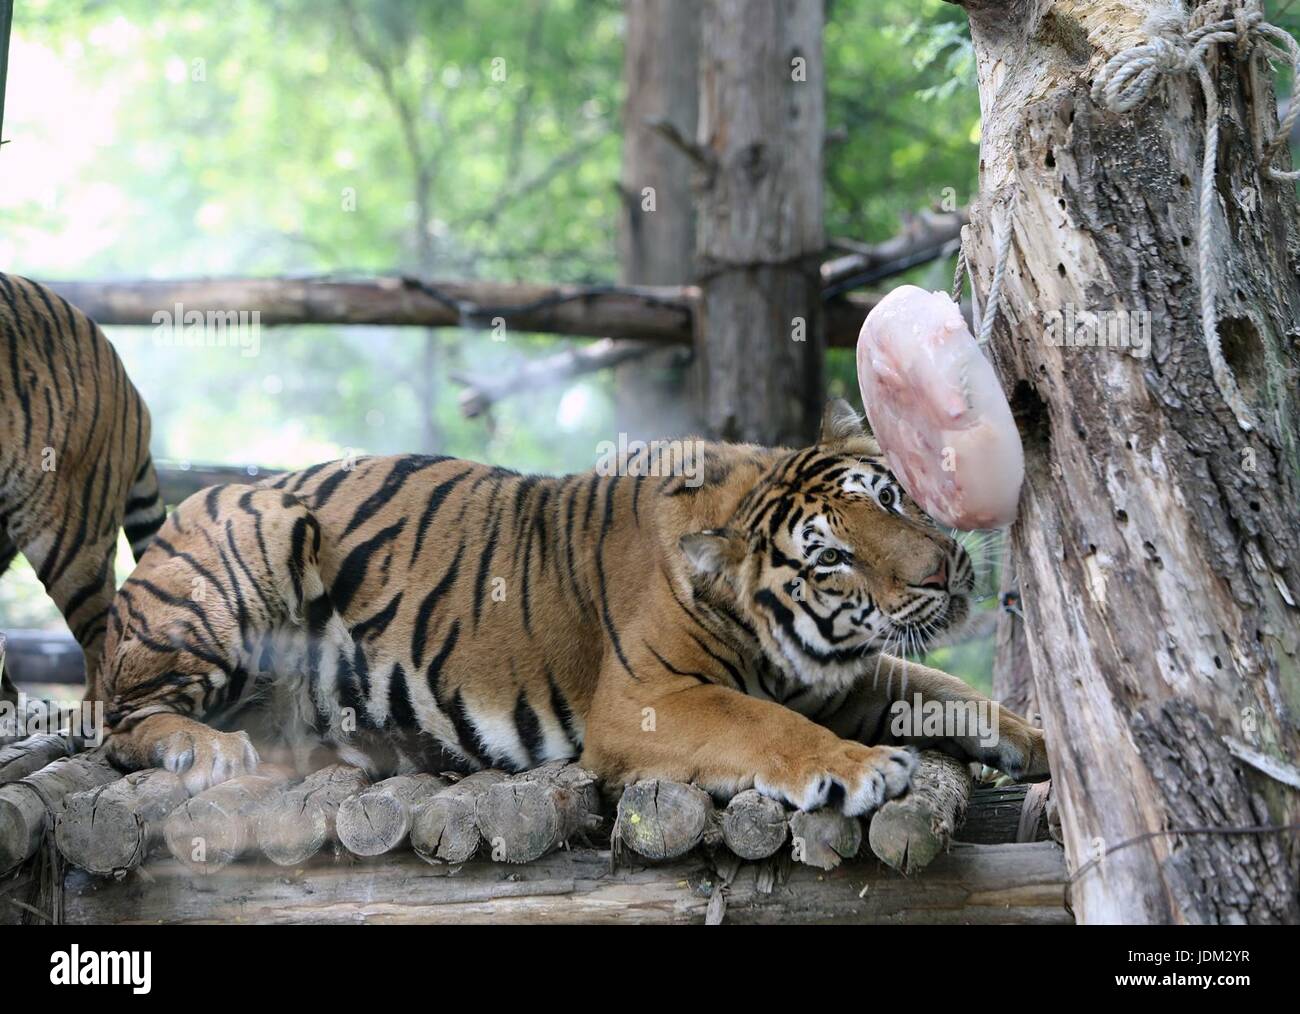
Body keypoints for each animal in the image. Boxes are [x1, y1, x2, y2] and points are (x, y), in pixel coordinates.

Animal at [98, 400, 1045, 811]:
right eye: (834, 560)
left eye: (888, 497)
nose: (943, 572)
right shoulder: (648, 702)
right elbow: (764, 725)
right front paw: (860, 768)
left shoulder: (847, 679)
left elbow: (950, 693)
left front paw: (1038, 740)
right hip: (255, 538)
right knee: (119, 722)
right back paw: (202, 748)